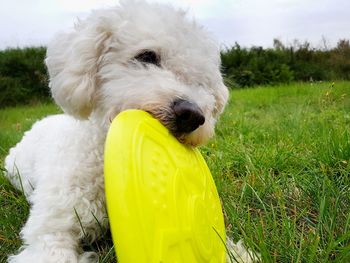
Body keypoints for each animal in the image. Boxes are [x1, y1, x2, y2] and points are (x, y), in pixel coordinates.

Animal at [4, 1, 258, 262]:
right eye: (146, 56)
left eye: (202, 83)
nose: (192, 115)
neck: (104, 156)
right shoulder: (51, 229)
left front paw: (237, 253)